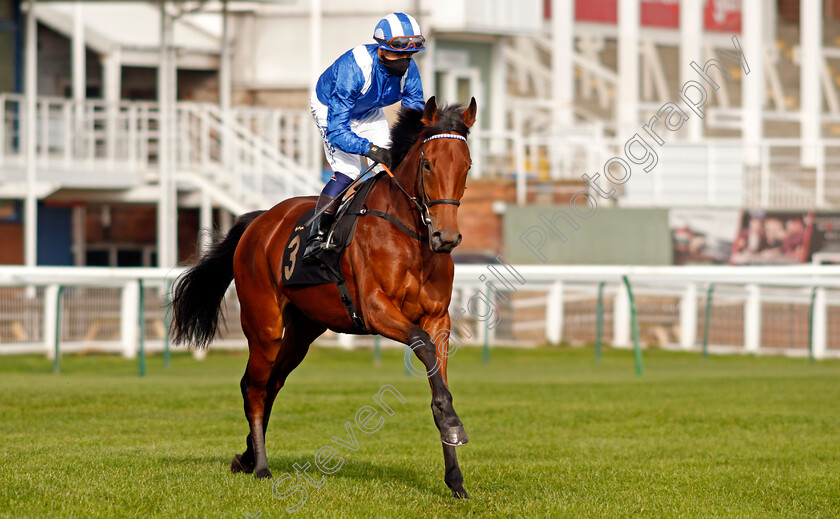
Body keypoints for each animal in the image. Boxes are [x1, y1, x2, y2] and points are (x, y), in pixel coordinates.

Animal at [169, 96, 480, 500]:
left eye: (467, 165)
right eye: (428, 163)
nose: (447, 237)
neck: (410, 238)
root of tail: (259, 221)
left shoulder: (439, 318)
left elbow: (436, 369)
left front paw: (455, 475)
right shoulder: (376, 309)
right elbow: (422, 344)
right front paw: (453, 424)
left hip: (302, 330)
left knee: (272, 383)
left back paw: (248, 456)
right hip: (264, 326)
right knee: (254, 386)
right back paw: (262, 467)